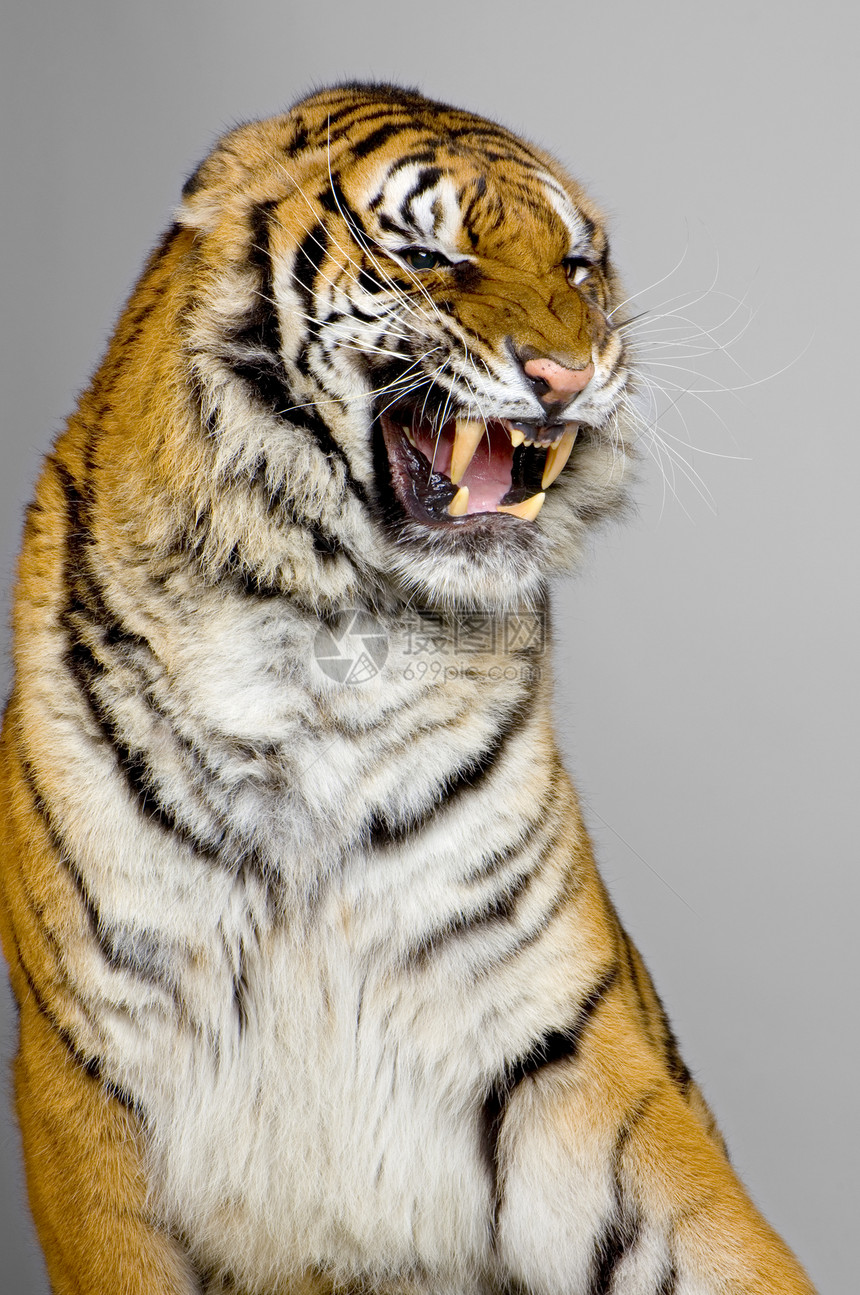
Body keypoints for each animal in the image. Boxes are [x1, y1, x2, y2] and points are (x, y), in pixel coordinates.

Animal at [0, 83, 813, 1295]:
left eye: (577, 265)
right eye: (427, 253)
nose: (570, 375)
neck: (332, 636)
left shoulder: (554, 1036)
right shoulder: (89, 1072)